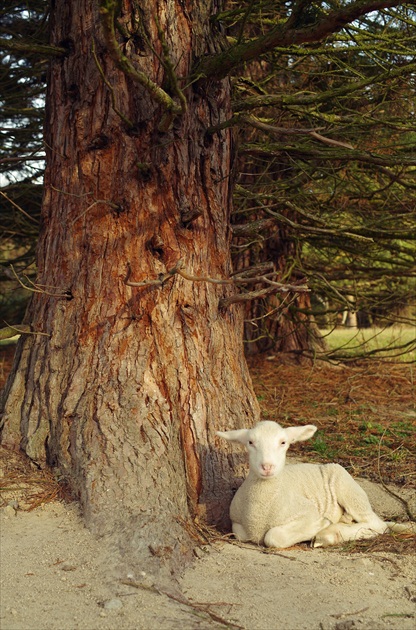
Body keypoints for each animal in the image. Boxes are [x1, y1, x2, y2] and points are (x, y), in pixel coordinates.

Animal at [216, 422, 414, 552]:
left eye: (283, 442)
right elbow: (240, 533)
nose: (267, 466)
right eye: (250, 442)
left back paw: (329, 533)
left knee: (378, 524)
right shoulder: (236, 522)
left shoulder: (307, 511)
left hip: (347, 488)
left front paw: (322, 524)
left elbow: (274, 536)